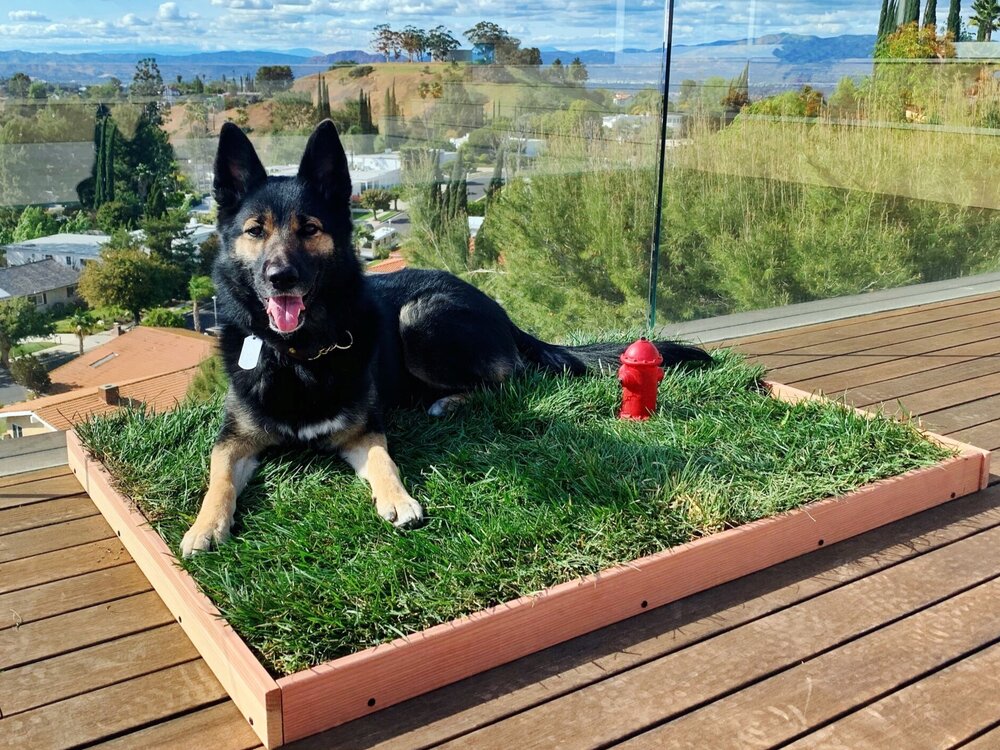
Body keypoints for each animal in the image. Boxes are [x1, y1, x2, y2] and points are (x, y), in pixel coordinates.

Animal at [180, 120, 712, 560]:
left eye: (309, 228)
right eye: (255, 231)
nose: (280, 278)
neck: (299, 353)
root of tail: (499, 309)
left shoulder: (364, 431)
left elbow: (384, 461)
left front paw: (398, 499)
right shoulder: (234, 441)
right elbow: (218, 479)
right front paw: (204, 526)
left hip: (419, 318)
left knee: (511, 379)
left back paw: (448, 402)